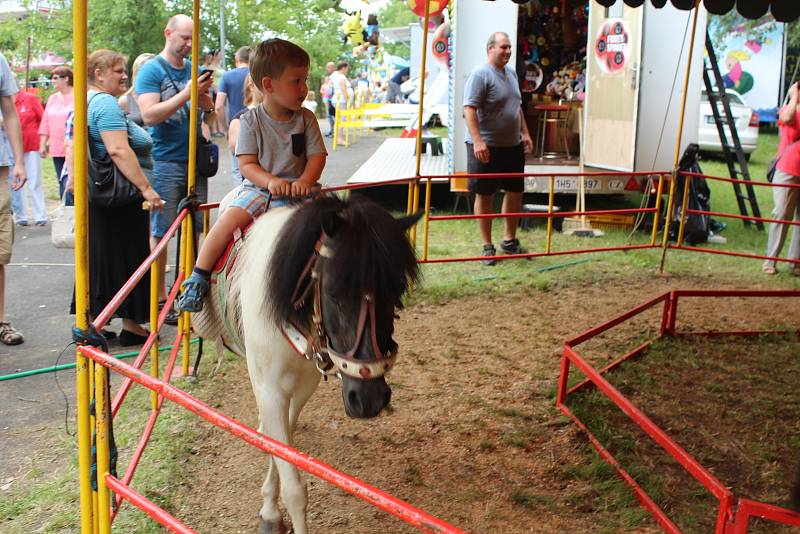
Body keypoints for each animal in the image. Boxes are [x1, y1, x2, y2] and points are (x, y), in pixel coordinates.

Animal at [191, 194, 422, 534]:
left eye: (397, 291)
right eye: (334, 294)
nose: (369, 399)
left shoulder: (302, 388)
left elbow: (283, 441)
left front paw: (269, 508)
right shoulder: (270, 391)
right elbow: (294, 488)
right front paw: (272, 513)